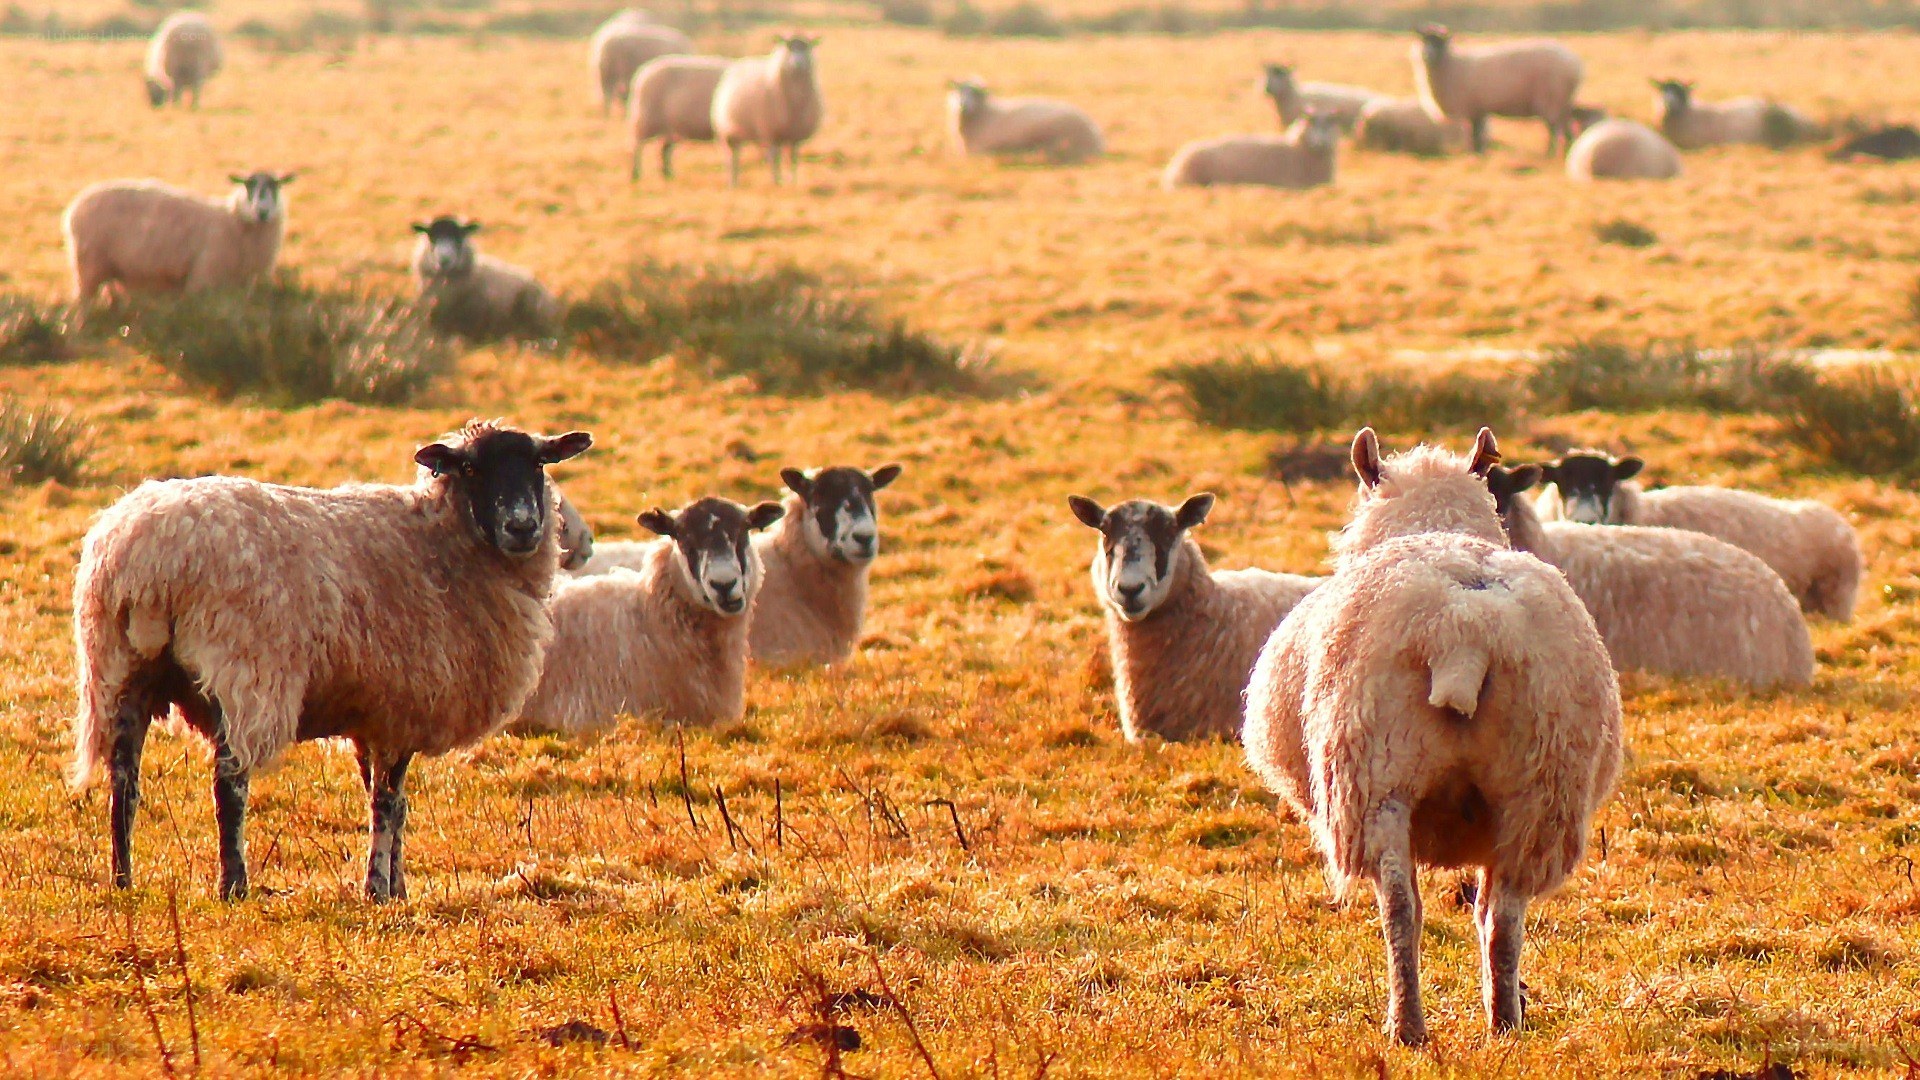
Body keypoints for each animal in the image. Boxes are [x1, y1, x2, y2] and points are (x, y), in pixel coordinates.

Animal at [63, 172, 293, 304]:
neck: (233, 220)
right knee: (81, 304)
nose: (262, 212)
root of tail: (73, 208)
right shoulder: (203, 278)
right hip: (88, 265)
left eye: (277, 186)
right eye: (248, 186)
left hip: (108, 268)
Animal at [71, 421, 593, 901]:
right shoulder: (401, 705)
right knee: (229, 783)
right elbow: (386, 801)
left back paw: (122, 879)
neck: (440, 539)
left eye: (538, 463)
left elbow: (389, 799)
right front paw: (378, 888)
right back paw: (233, 884)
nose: (523, 527)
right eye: (470, 468)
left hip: (119, 670)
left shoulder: (371, 711)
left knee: (124, 782)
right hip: (245, 669)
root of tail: (146, 554)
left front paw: (397, 885)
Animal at [711, 35, 824, 187]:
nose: (798, 63)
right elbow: (774, 159)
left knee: (738, 155)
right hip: (726, 134)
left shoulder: (794, 136)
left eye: (807, 47)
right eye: (787, 47)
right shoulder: (769, 132)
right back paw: (733, 183)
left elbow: (792, 159)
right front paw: (776, 182)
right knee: (731, 159)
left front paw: (792, 182)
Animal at [1243, 427, 1622, 1047]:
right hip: (1539, 791)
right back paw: (1504, 1020)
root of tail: (1464, 627)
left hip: (1376, 780)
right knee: (1502, 917)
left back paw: (1406, 1026)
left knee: (1401, 909)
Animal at [1411, 24, 1583, 156]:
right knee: (1566, 132)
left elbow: (1472, 137)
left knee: (1558, 132)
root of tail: (1576, 65)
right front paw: (1479, 156)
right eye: (1423, 40)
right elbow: (1477, 137)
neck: (1451, 64)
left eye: (1438, 42)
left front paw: (1471, 156)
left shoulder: (1467, 110)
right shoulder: (1477, 112)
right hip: (1563, 104)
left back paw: (1552, 156)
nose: (1426, 55)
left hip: (1553, 101)